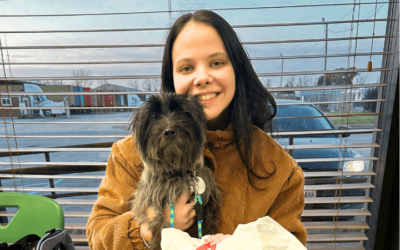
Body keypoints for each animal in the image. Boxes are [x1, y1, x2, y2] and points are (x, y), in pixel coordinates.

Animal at [130, 93, 220, 249]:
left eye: (180, 112)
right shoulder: (150, 202)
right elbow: (159, 222)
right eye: (153, 116)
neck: (176, 171)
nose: (169, 131)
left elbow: (209, 217)